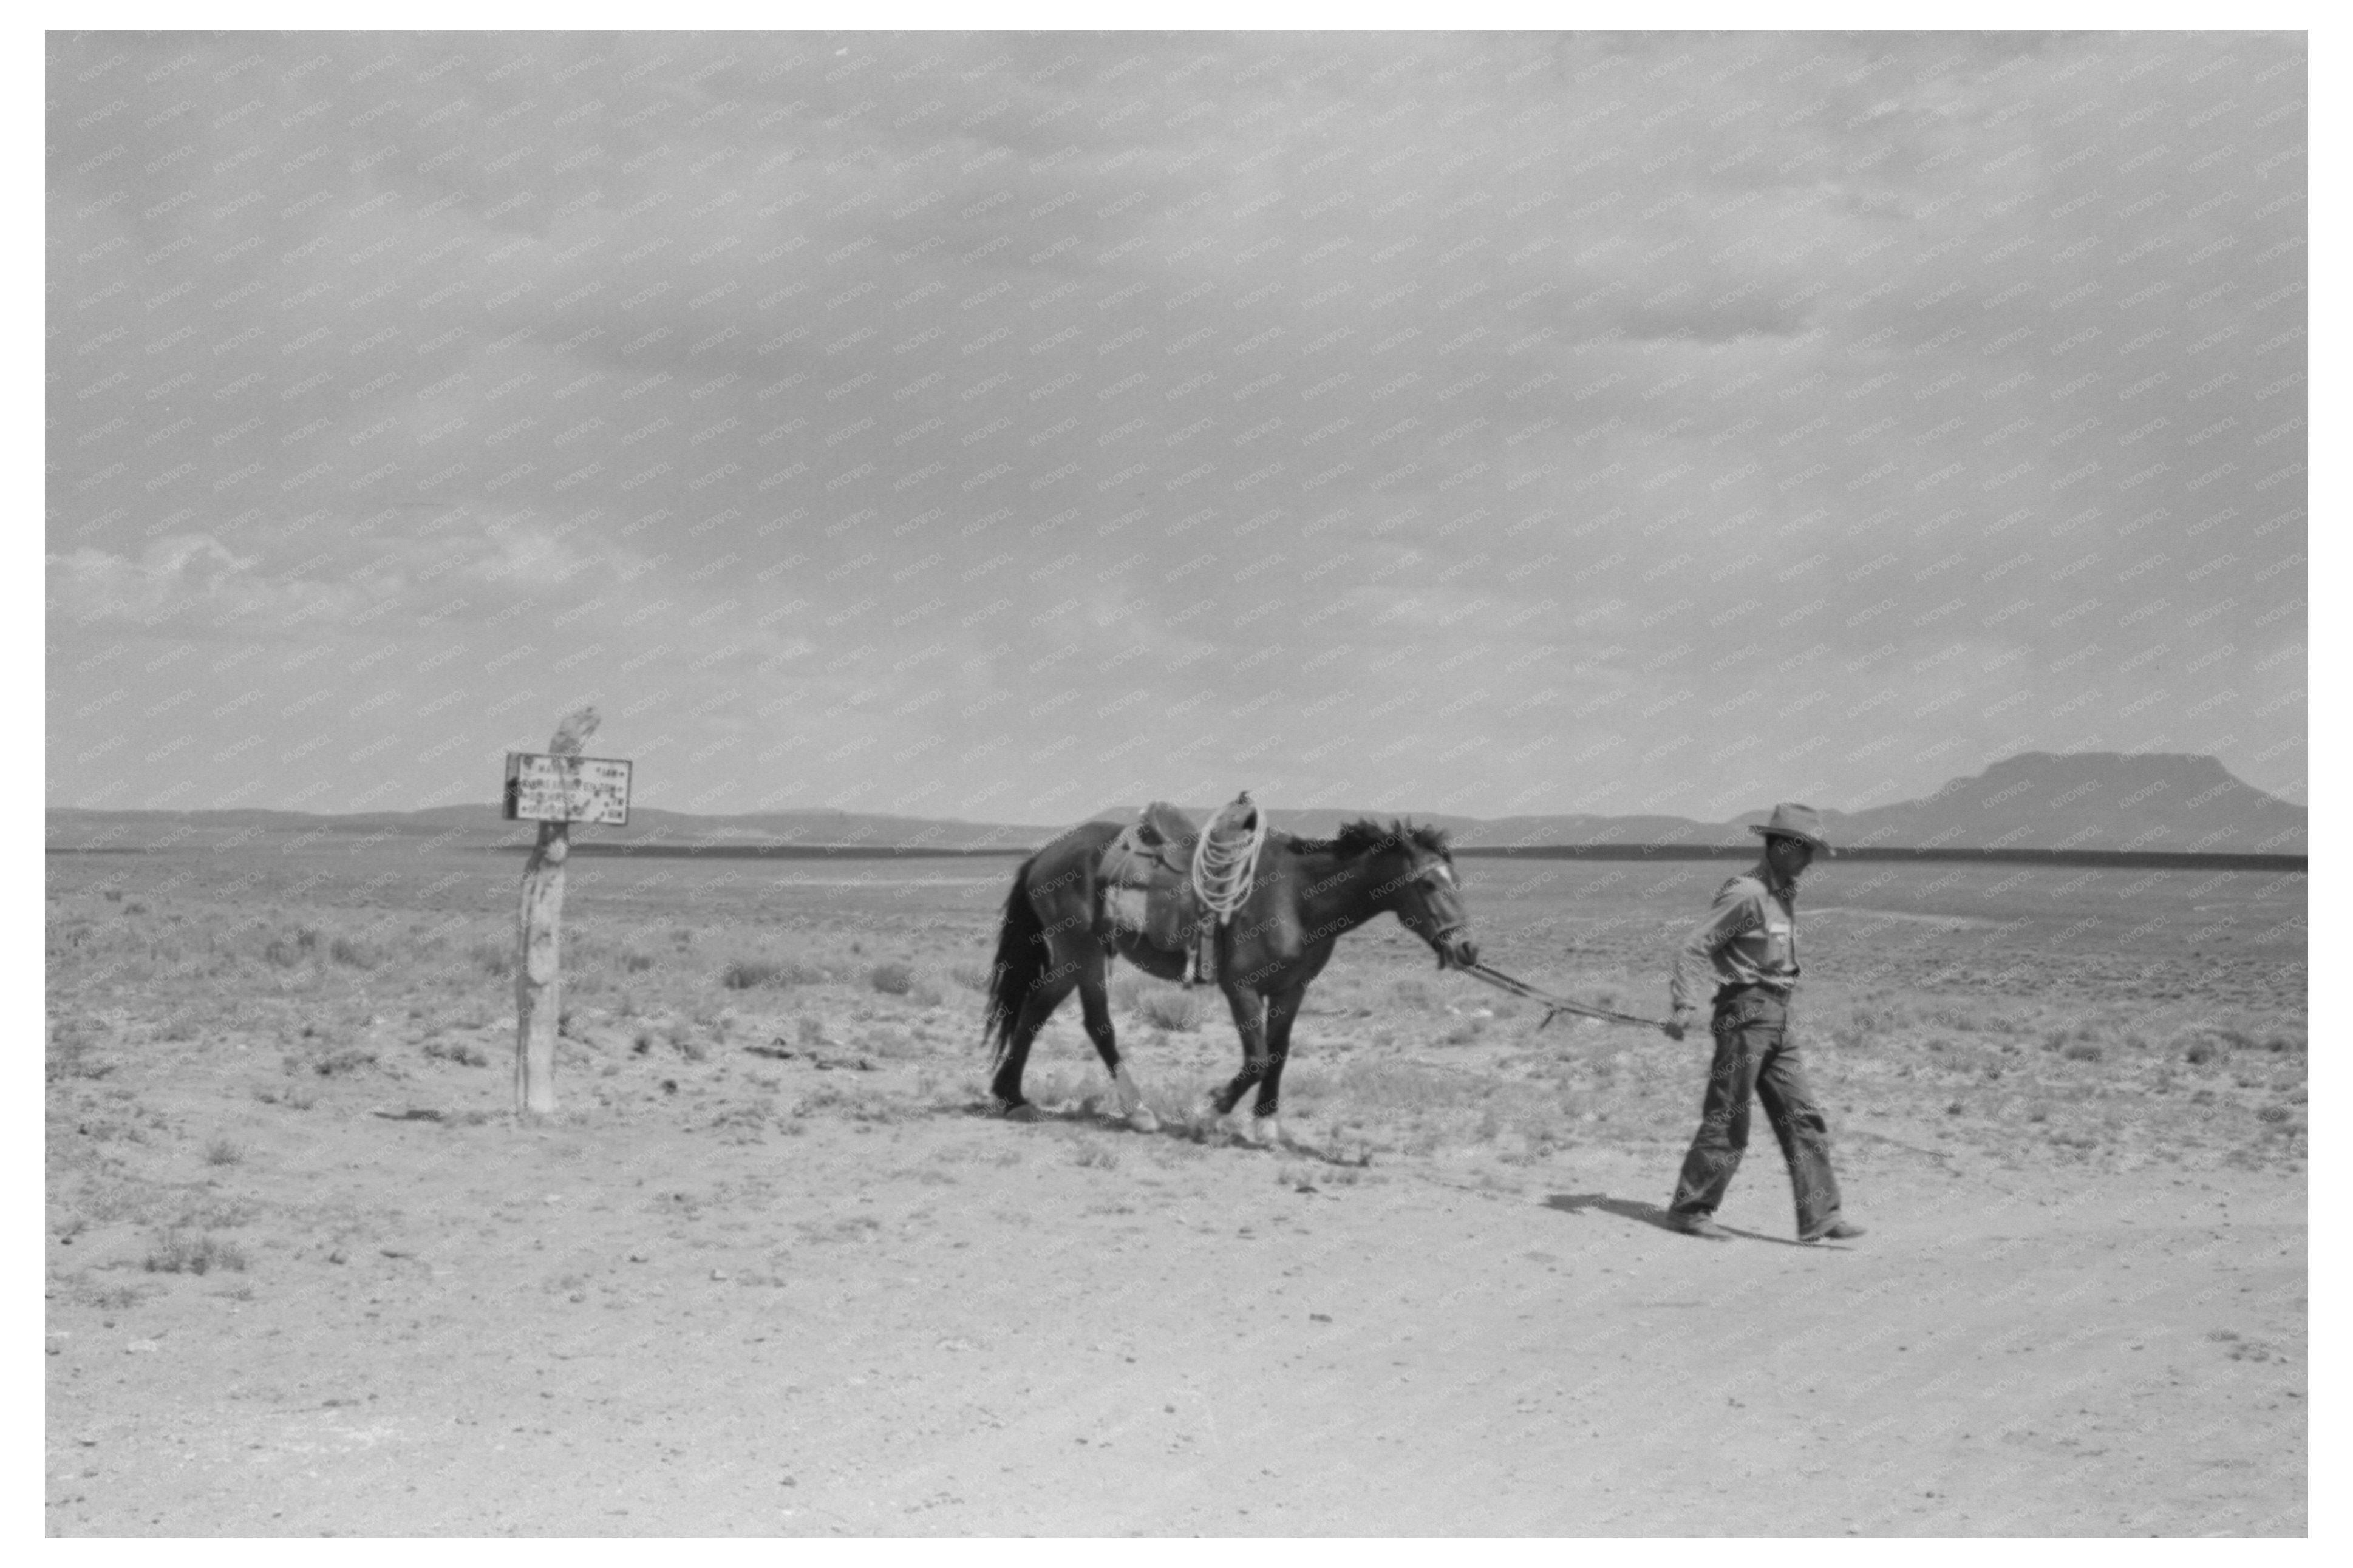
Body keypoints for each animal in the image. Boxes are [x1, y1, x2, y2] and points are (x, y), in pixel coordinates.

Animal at [974, 823, 1468, 1142]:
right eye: (1428, 884)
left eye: (1456, 881)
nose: (1466, 949)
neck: (1296, 896)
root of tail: (1044, 855)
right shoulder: (1242, 988)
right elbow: (1257, 1058)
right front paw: (1207, 1116)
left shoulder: (1291, 989)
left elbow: (1279, 1054)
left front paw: (1266, 1123)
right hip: (1084, 954)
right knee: (1096, 1024)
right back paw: (1138, 1112)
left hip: (1073, 959)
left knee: (1035, 1010)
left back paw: (1013, 1097)